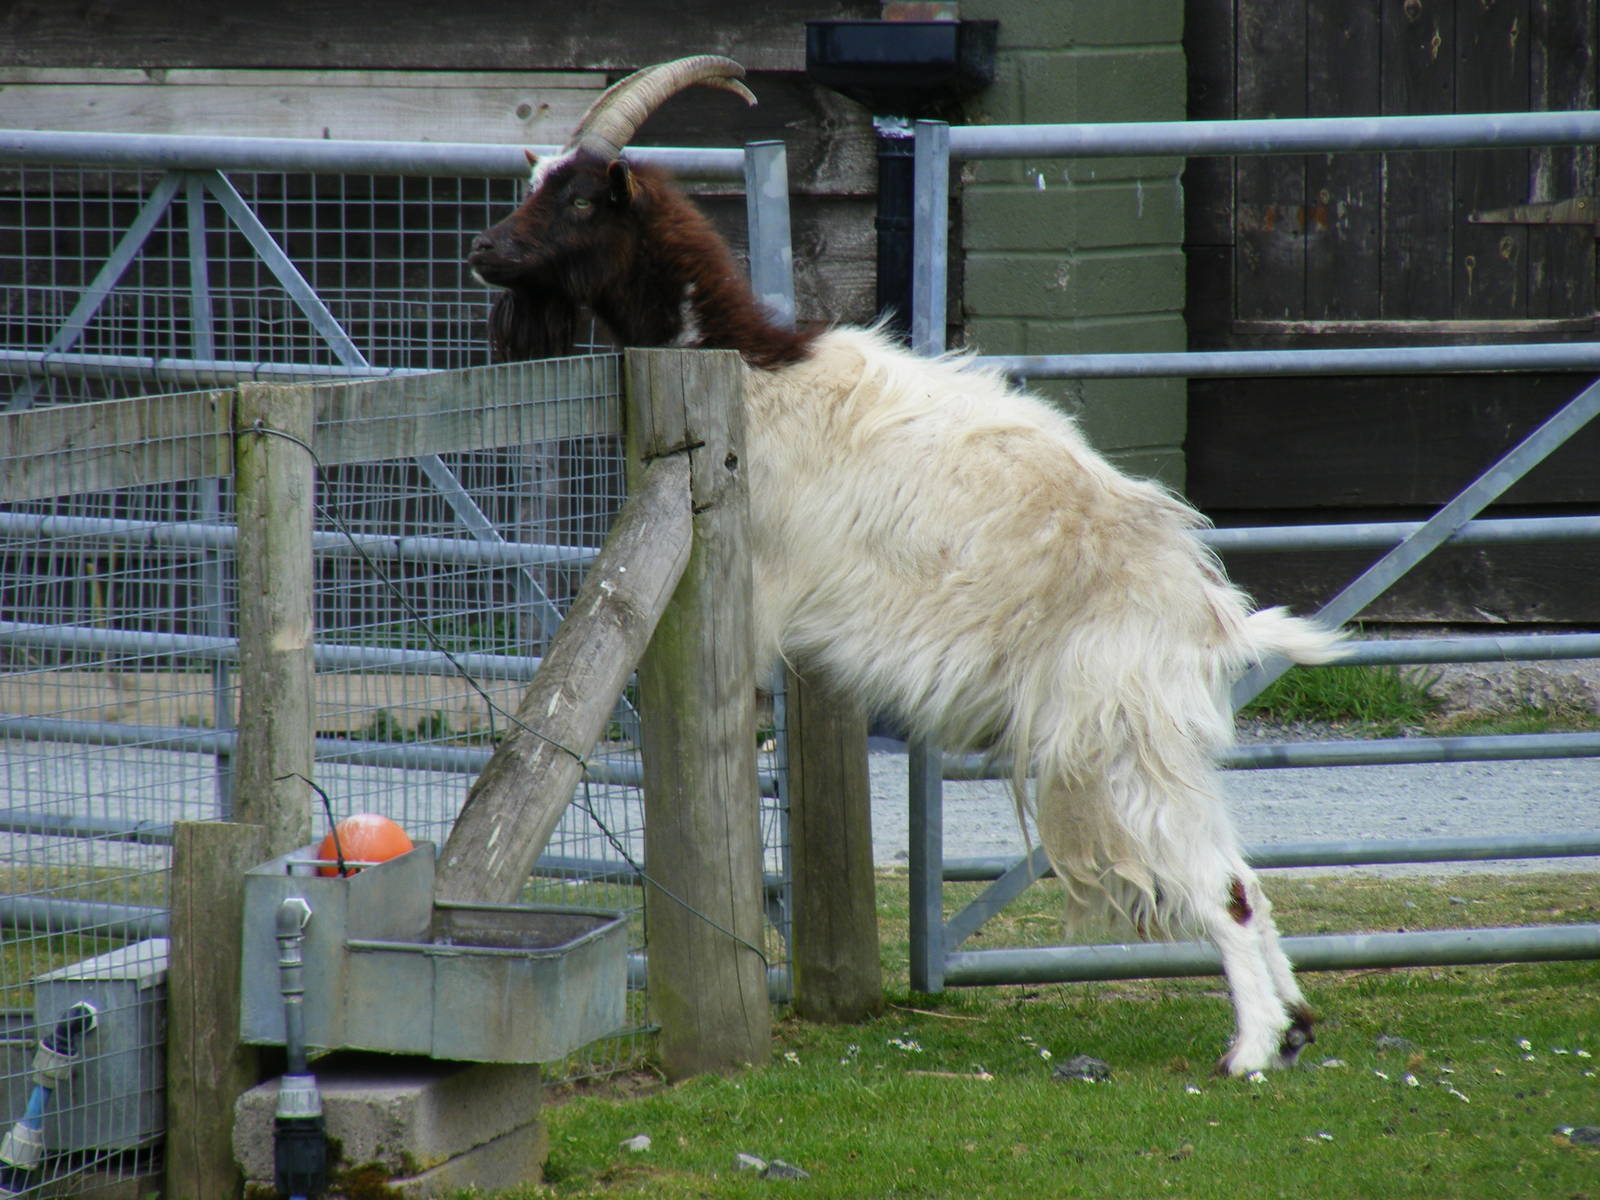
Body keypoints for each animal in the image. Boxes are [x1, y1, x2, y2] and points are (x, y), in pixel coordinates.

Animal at [468, 56, 1345, 1075]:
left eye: (576, 199)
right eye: (535, 182)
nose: (484, 251)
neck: (751, 367)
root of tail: (1209, 607)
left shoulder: (753, 587)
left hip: (1109, 729)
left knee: (1218, 884)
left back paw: (1249, 1051)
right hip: (1149, 733)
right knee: (1241, 868)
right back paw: (1293, 1026)